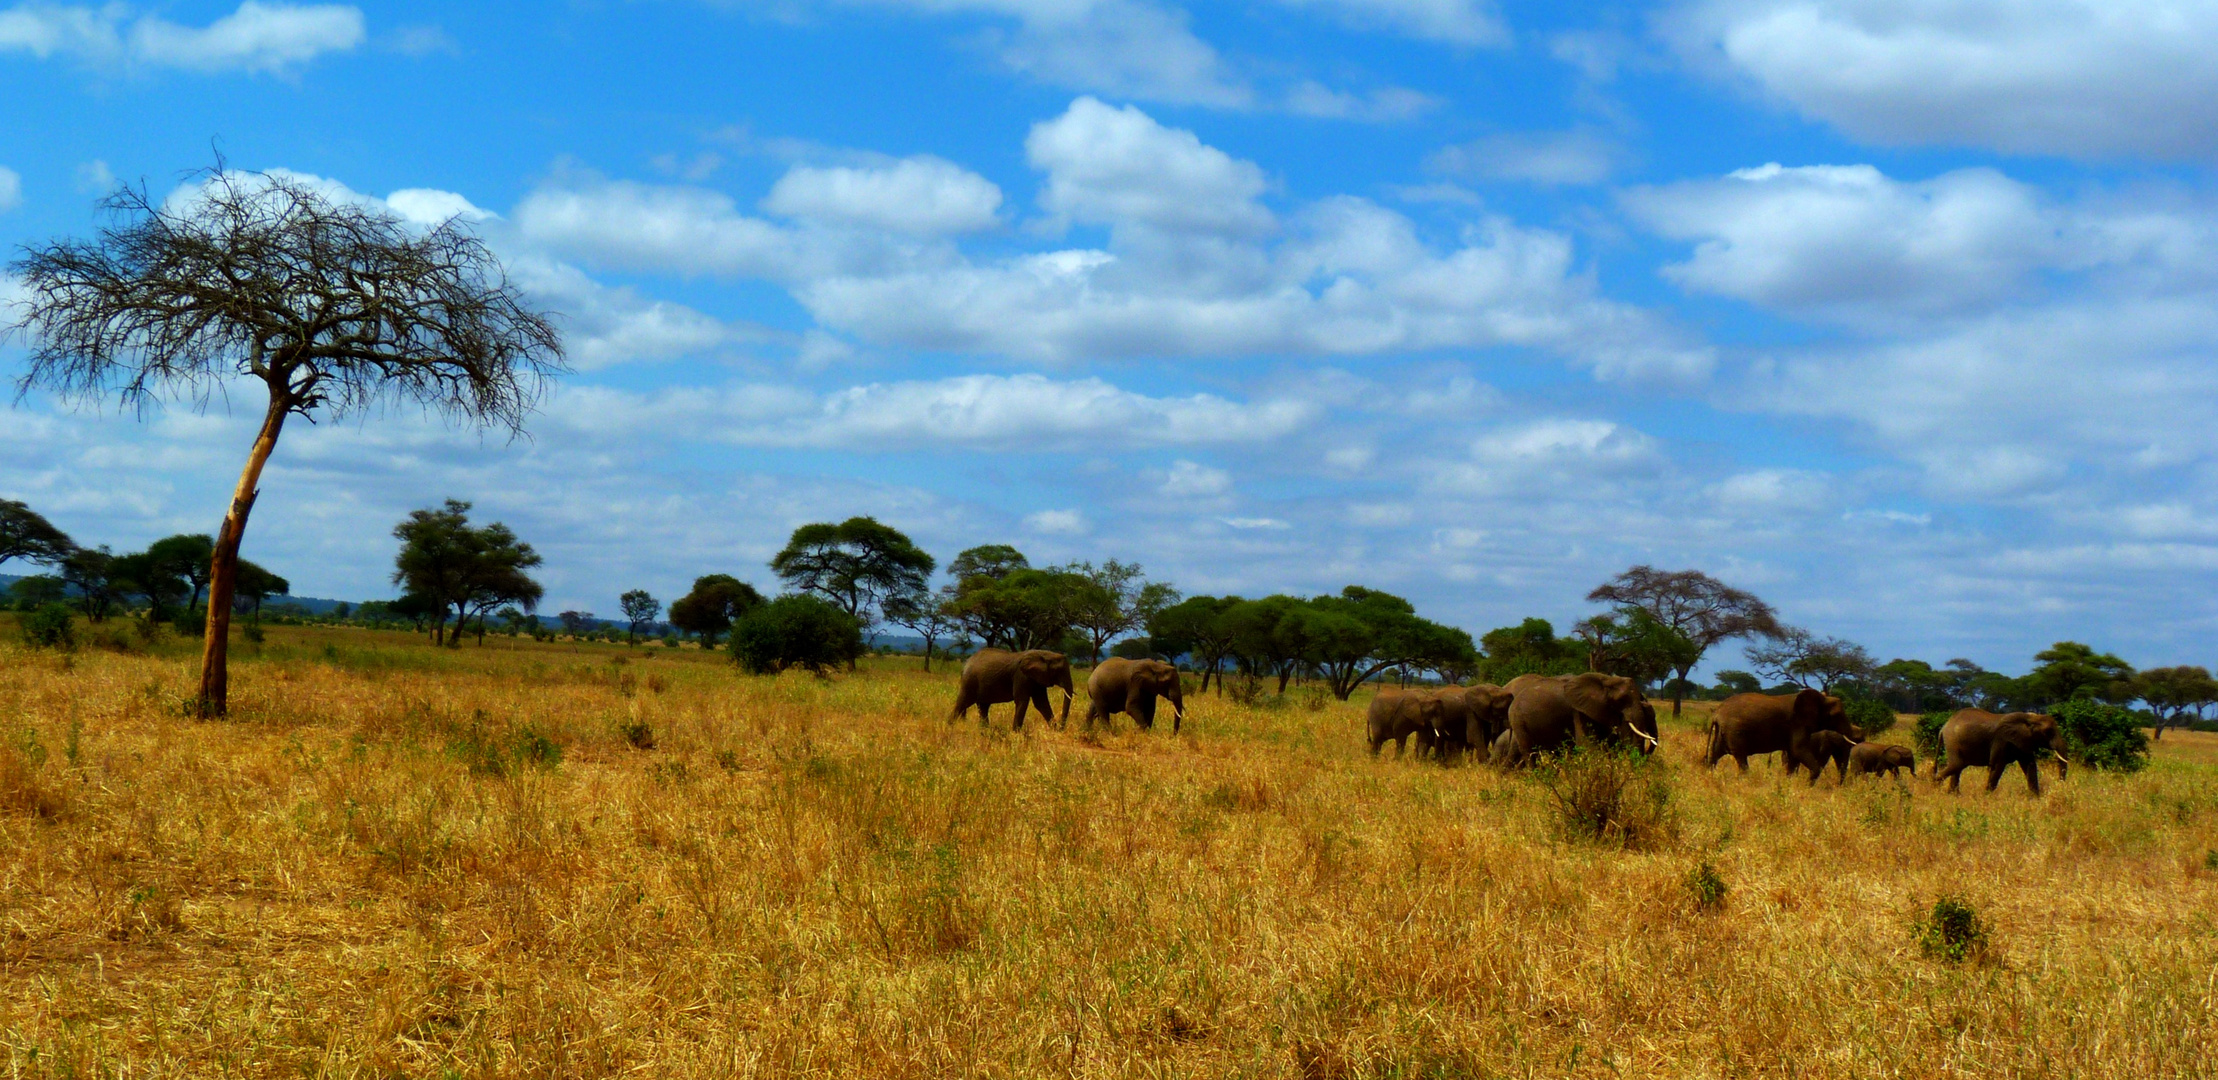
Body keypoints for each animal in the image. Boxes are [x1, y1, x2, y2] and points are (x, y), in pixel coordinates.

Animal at [1499, 674, 1659, 767]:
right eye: (1620, 700)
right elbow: (1587, 744)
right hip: (1519, 720)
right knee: (1528, 751)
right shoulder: (1579, 711)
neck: (1606, 679)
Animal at [1712, 687, 1854, 771]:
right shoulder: (1797, 724)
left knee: (1715, 754)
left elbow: (1793, 755)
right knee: (1741, 757)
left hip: (1723, 733)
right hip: (1734, 732)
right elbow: (1798, 751)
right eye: (1837, 715)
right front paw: (1810, 784)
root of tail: (1718, 713)